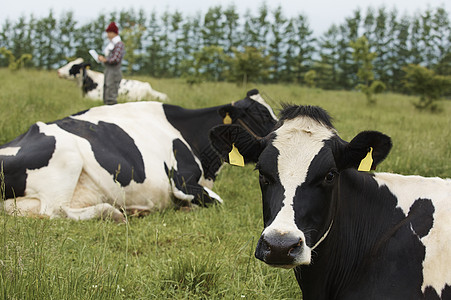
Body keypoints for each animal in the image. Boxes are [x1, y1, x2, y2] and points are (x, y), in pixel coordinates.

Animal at [0, 89, 278, 223]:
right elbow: (218, 202)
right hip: (67, 160)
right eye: (262, 115)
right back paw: (113, 213)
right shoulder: (182, 182)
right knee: (55, 210)